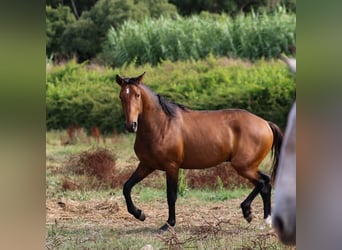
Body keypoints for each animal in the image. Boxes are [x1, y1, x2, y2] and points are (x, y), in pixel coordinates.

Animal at [116, 73, 282, 230]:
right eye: (121, 96)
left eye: (137, 95)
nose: (131, 125)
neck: (162, 125)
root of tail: (265, 123)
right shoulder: (146, 165)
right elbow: (126, 187)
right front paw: (139, 214)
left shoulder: (172, 167)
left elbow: (171, 196)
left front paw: (168, 224)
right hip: (248, 166)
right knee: (265, 184)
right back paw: (264, 220)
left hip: (244, 166)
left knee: (263, 182)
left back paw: (248, 212)